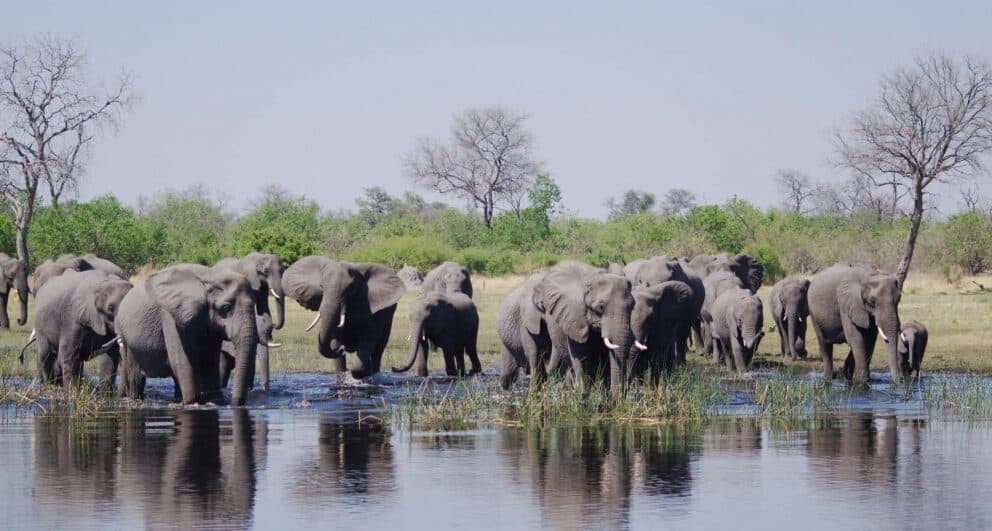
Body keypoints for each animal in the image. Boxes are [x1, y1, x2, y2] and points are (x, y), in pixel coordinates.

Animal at [116, 265, 258, 405]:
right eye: (226, 307)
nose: (233, 403)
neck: (210, 277)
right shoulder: (170, 316)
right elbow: (181, 360)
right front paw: (192, 402)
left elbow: (209, 360)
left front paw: (213, 401)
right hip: (125, 334)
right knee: (135, 374)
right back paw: (135, 399)